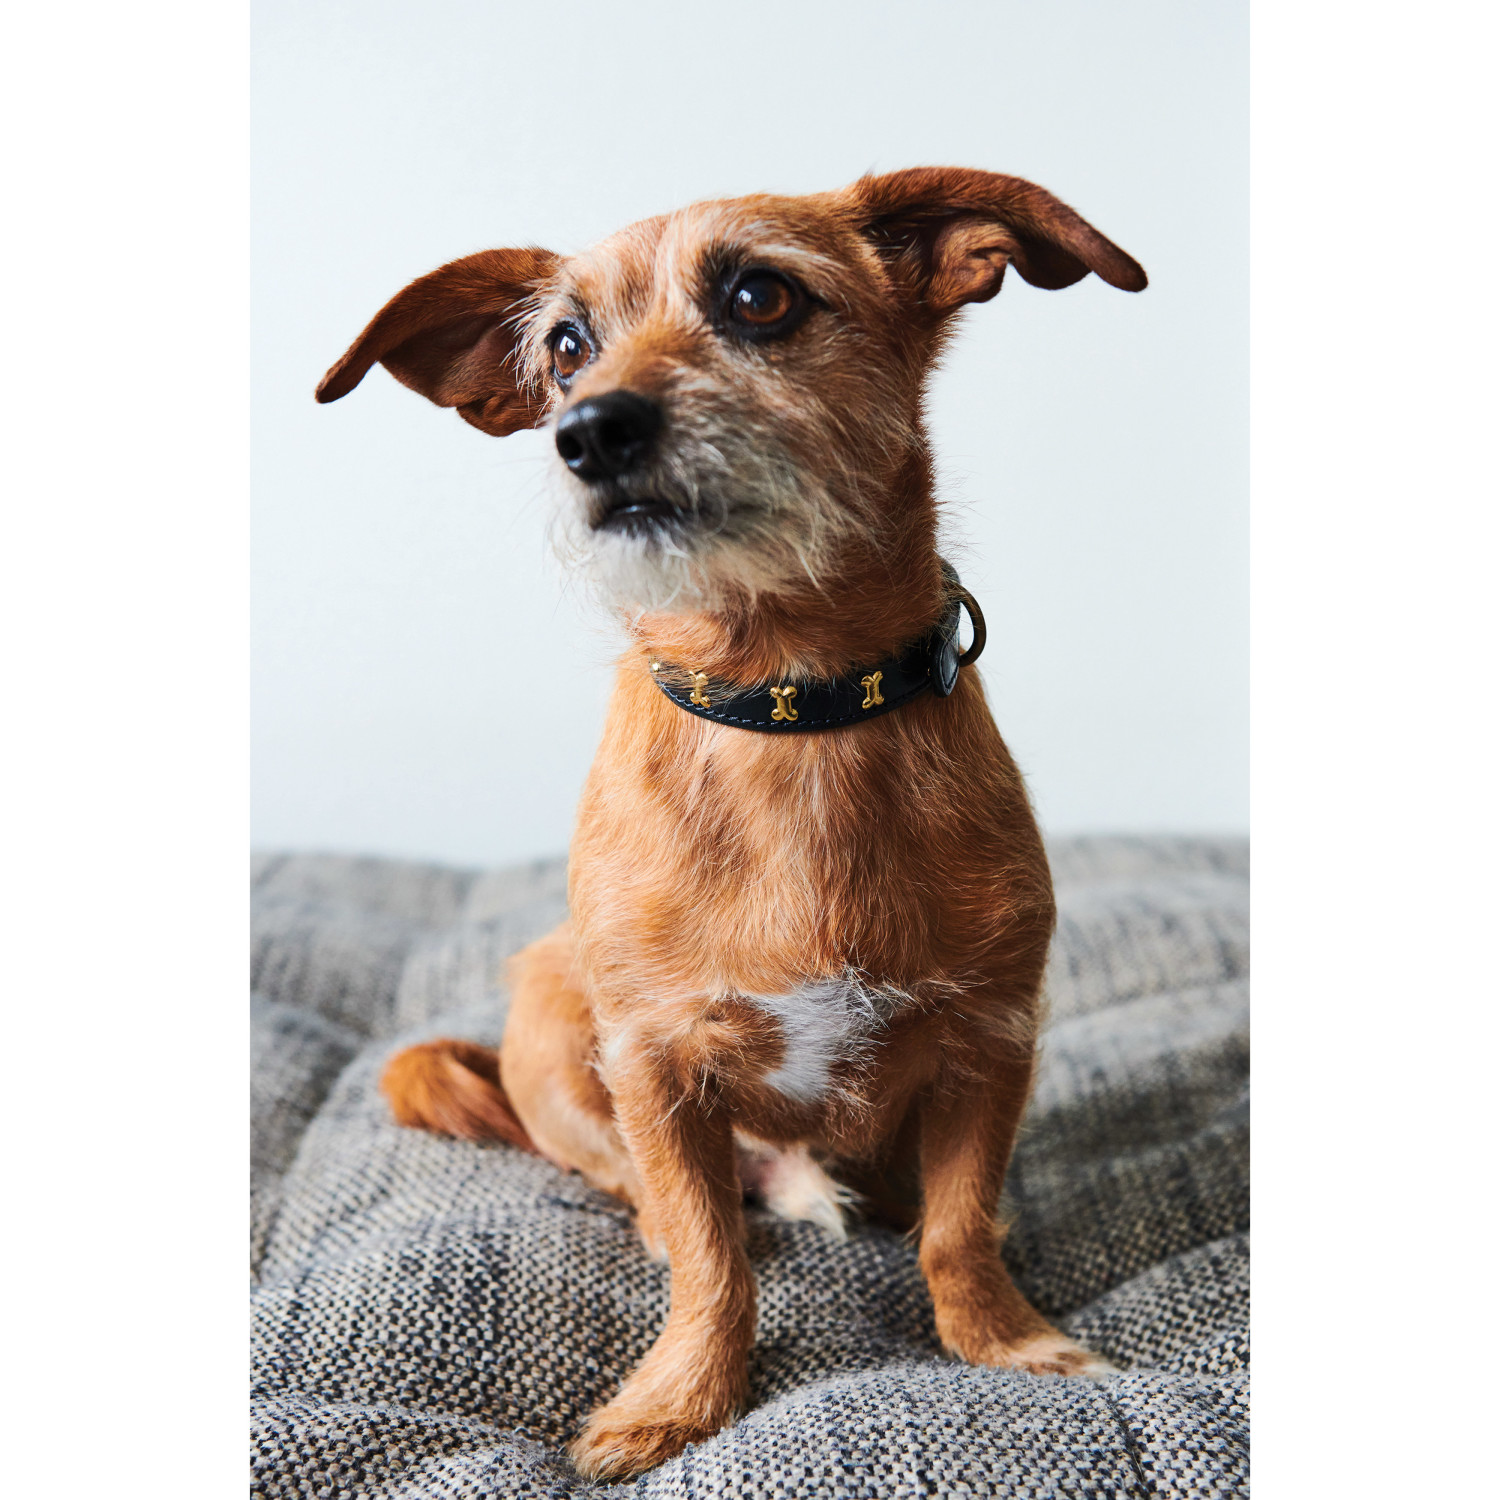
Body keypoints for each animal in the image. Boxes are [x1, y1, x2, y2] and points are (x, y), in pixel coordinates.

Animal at [317, 166, 1146, 1480]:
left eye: (761, 296)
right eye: (566, 347)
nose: (590, 431)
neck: (788, 713)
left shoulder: (992, 1041)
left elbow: (959, 1225)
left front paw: (1008, 1343)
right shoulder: (653, 1066)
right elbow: (713, 1262)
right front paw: (678, 1401)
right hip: (555, 1027)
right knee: (656, 1198)